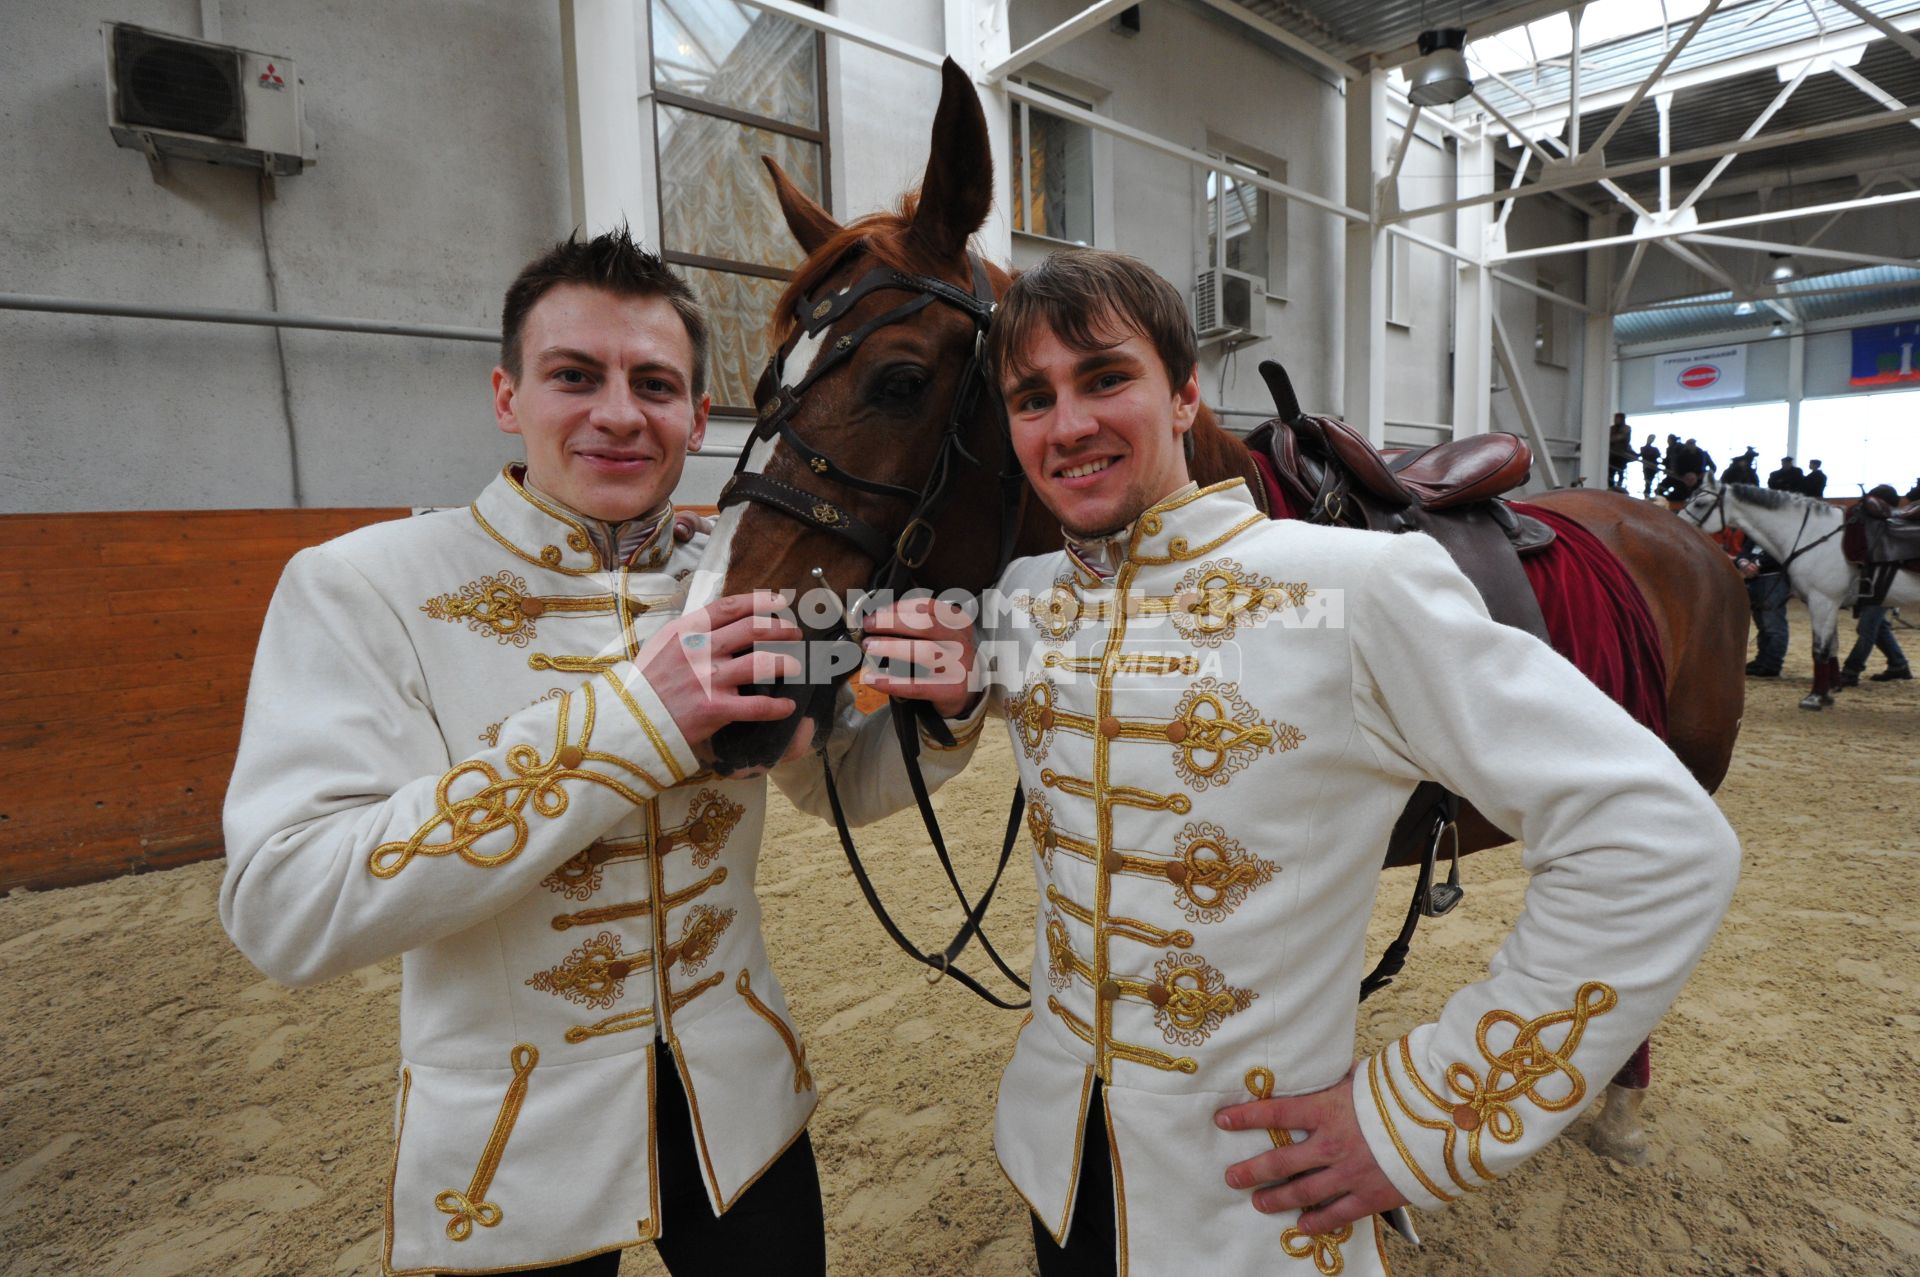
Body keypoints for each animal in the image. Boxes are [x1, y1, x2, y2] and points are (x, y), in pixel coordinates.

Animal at [1689, 483, 1912, 710]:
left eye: (1700, 504)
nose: (1682, 527)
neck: (1814, 534)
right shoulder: (1829, 603)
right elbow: (1831, 648)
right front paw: (1828, 694)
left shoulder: (1823, 601)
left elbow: (1820, 650)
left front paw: (1814, 697)